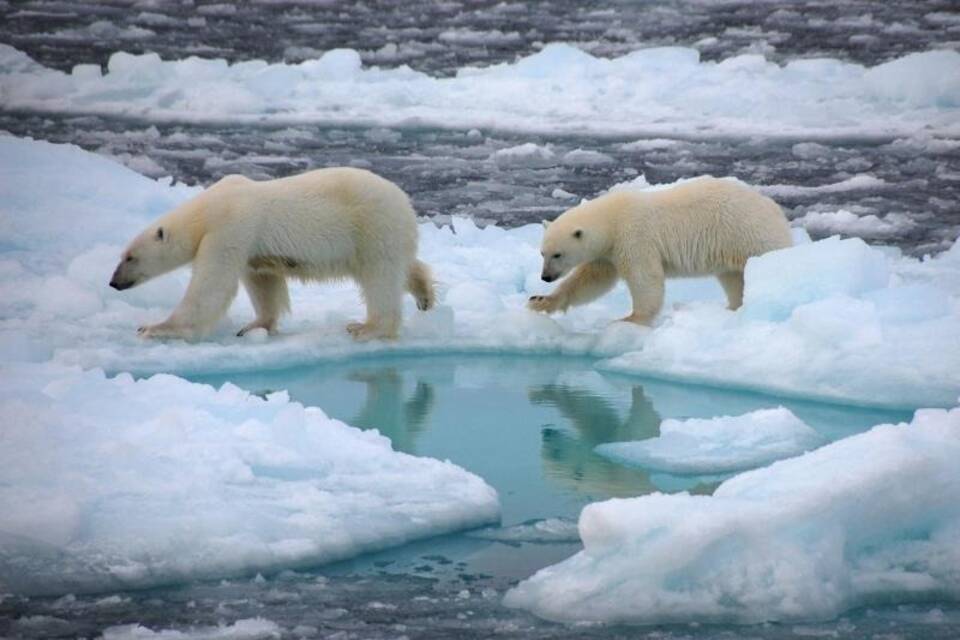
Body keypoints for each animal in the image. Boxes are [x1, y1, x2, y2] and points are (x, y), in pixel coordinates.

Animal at [109, 169, 436, 340]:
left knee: (380, 277)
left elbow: (212, 286)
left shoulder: (230, 227)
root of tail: (405, 201)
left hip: (372, 226)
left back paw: (367, 327)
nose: (113, 282)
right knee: (403, 267)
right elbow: (263, 281)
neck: (207, 210)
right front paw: (254, 326)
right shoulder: (250, 246)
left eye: (130, 257)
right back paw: (425, 295)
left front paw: (154, 327)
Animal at [528, 176, 792, 322]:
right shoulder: (607, 253)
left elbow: (645, 278)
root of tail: (774, 209)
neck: (612, 219)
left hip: (750, 235)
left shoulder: (634, 238)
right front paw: (540, 301)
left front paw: (631, 318)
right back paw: (734, 307)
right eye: (542, 253)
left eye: (558, 254)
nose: (545, 276)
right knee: (733, 278)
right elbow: (591, 280)